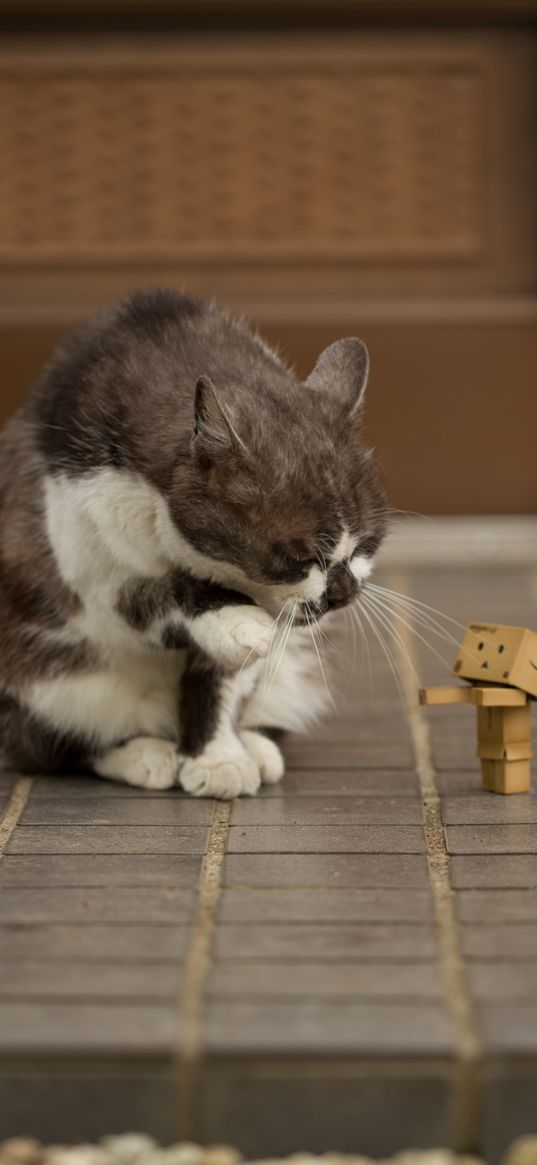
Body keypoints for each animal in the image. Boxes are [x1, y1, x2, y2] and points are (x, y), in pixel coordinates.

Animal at [0, 288, 384, 801]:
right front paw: (240, 621)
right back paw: (146, 755)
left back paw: (253, 745)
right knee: (52, 744)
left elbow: (218, 684)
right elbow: (158, 596)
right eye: (298, 559)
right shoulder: (91, 570)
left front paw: (219, 757)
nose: (342, 593)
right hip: (53, 681)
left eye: (367, 544)